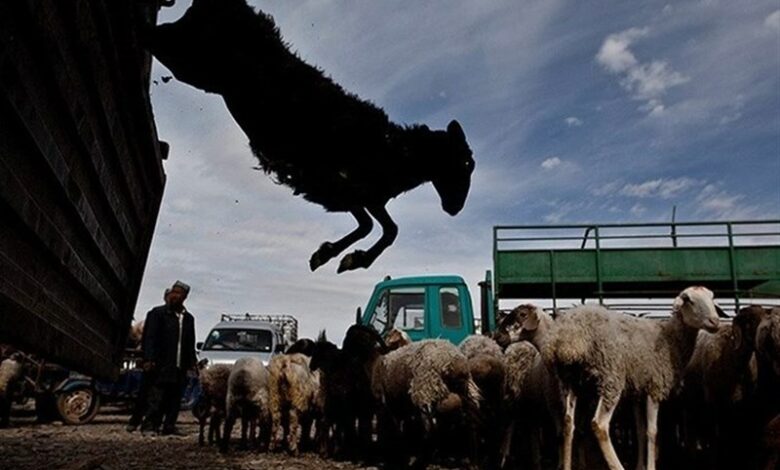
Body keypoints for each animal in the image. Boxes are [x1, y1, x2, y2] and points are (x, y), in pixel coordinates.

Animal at [516, 288, 724, 470]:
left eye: (712, 297)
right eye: (688, 299)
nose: (715, 321)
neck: (670, 337)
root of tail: (564, 339)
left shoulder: (637, 392)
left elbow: (640, 431)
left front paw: (640, 465)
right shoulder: (654, 386)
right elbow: (652, 432)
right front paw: (650, 466)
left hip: (570, 383)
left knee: (568, 423)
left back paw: (567, 465)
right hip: (610, 378)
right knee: (599, 425)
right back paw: (617, 466)